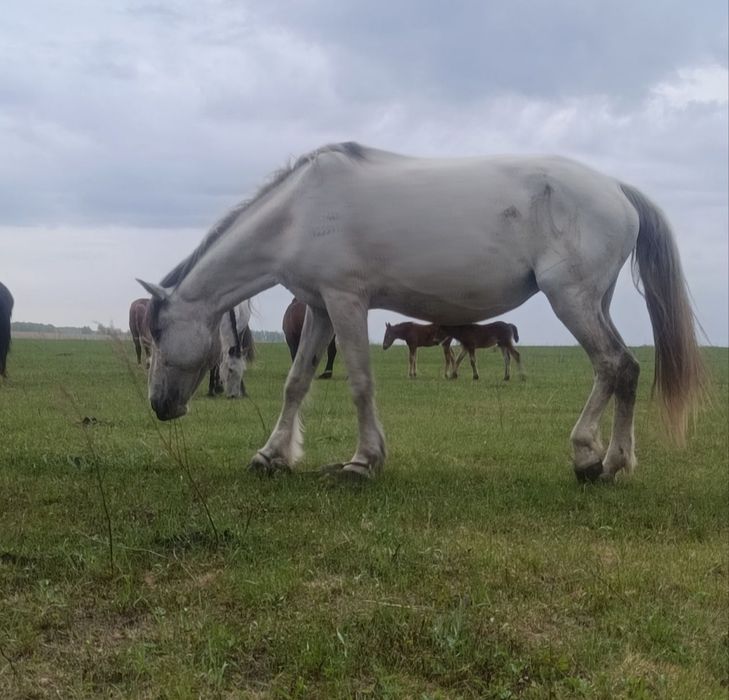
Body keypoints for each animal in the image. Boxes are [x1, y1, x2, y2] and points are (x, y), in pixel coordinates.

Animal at [138, 142, 705, 484]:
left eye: (159, 331)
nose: (160, 405)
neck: (299, 213)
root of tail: (616, 189)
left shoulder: (346, 302)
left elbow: (360, 382)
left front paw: (362, 462)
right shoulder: (320, 308)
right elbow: (296, 383)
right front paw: (271, 455)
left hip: (571, 298)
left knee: (614, 365)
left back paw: (593, 459)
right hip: (593, 301)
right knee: (625, 369)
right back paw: (613, 460)